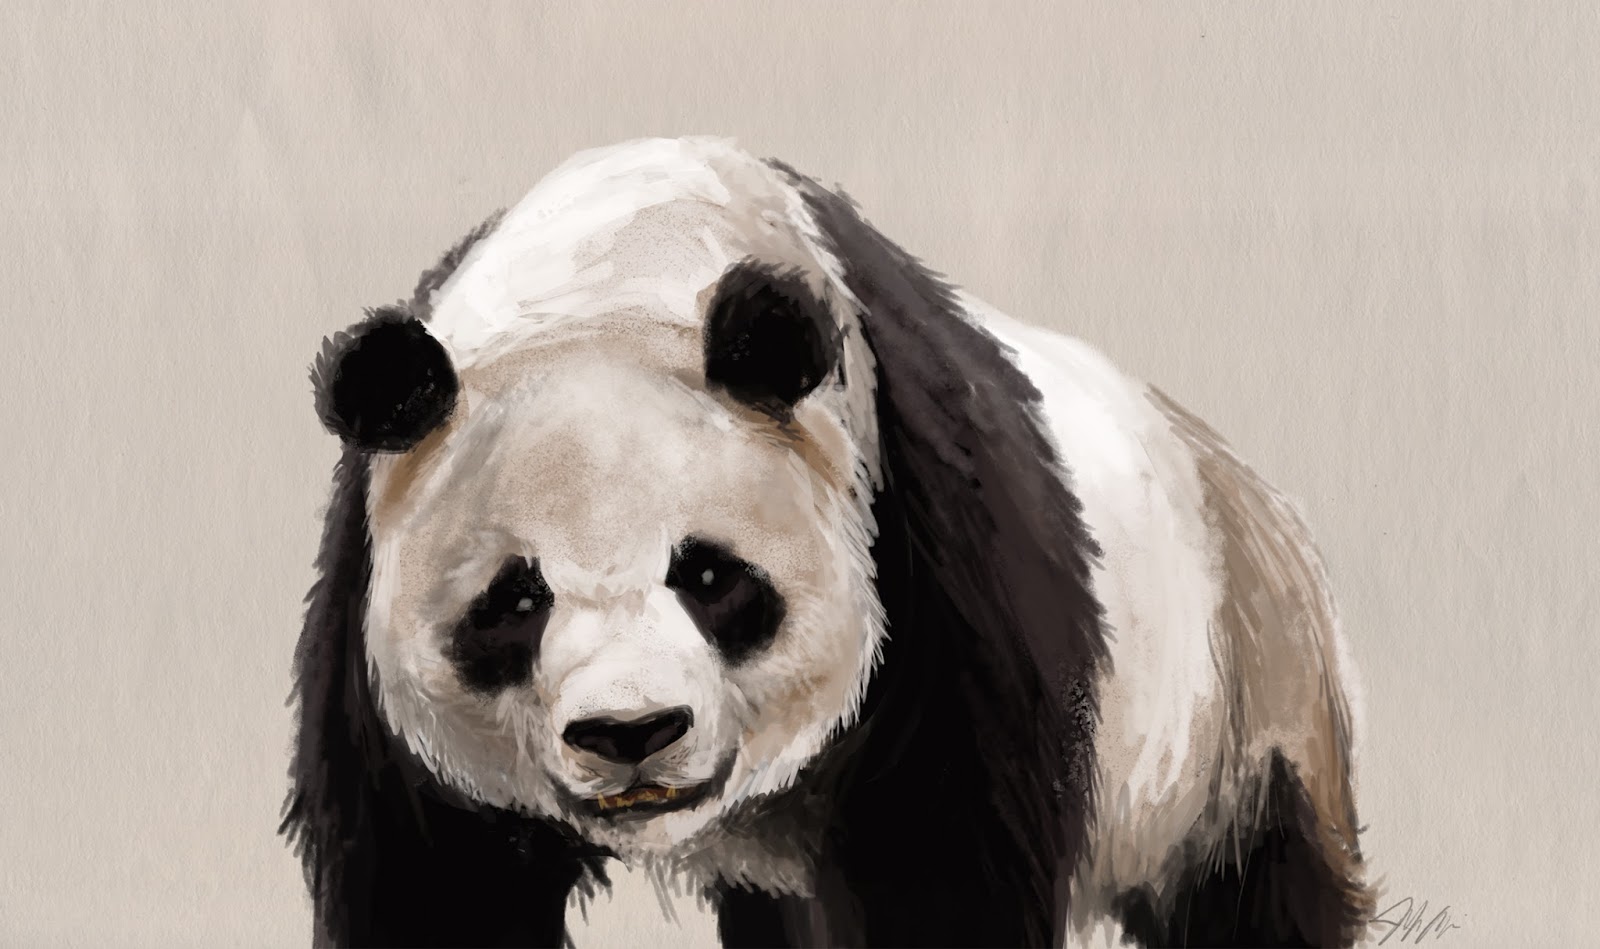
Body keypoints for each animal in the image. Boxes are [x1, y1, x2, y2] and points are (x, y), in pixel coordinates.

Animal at [282, 136, 1375, 949]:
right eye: (514, 599)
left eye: (709, 575)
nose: (631, 733)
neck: (612, 277)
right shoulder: (375, 649)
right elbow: (435, 887)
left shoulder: (934, 552)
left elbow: (946, 862)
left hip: (1240, 709)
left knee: (1257, 894)